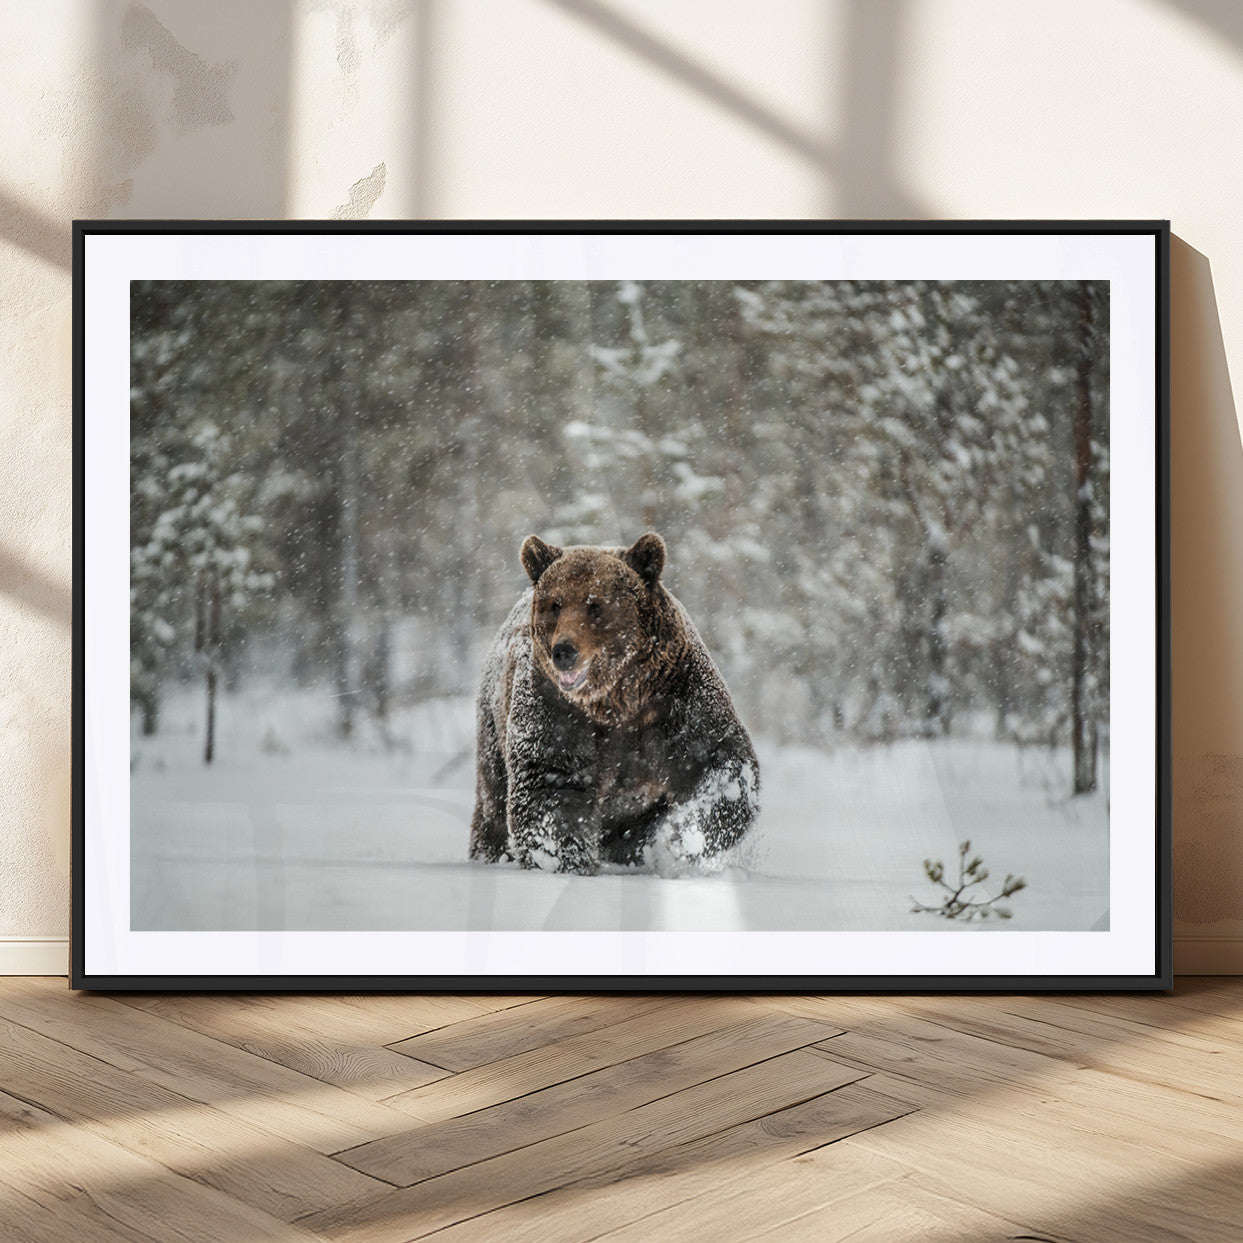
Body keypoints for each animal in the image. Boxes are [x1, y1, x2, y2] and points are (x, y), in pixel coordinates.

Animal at [469, 532, 759, 875]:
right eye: (556, 604)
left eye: (595, 605)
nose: (563, 651)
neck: (617, 698)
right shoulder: (555, 708)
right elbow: (550, 784)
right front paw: (565, 862)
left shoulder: (676, 697)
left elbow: (717, 761)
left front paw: (683, 837)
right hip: (493, 726)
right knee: (493, 803)